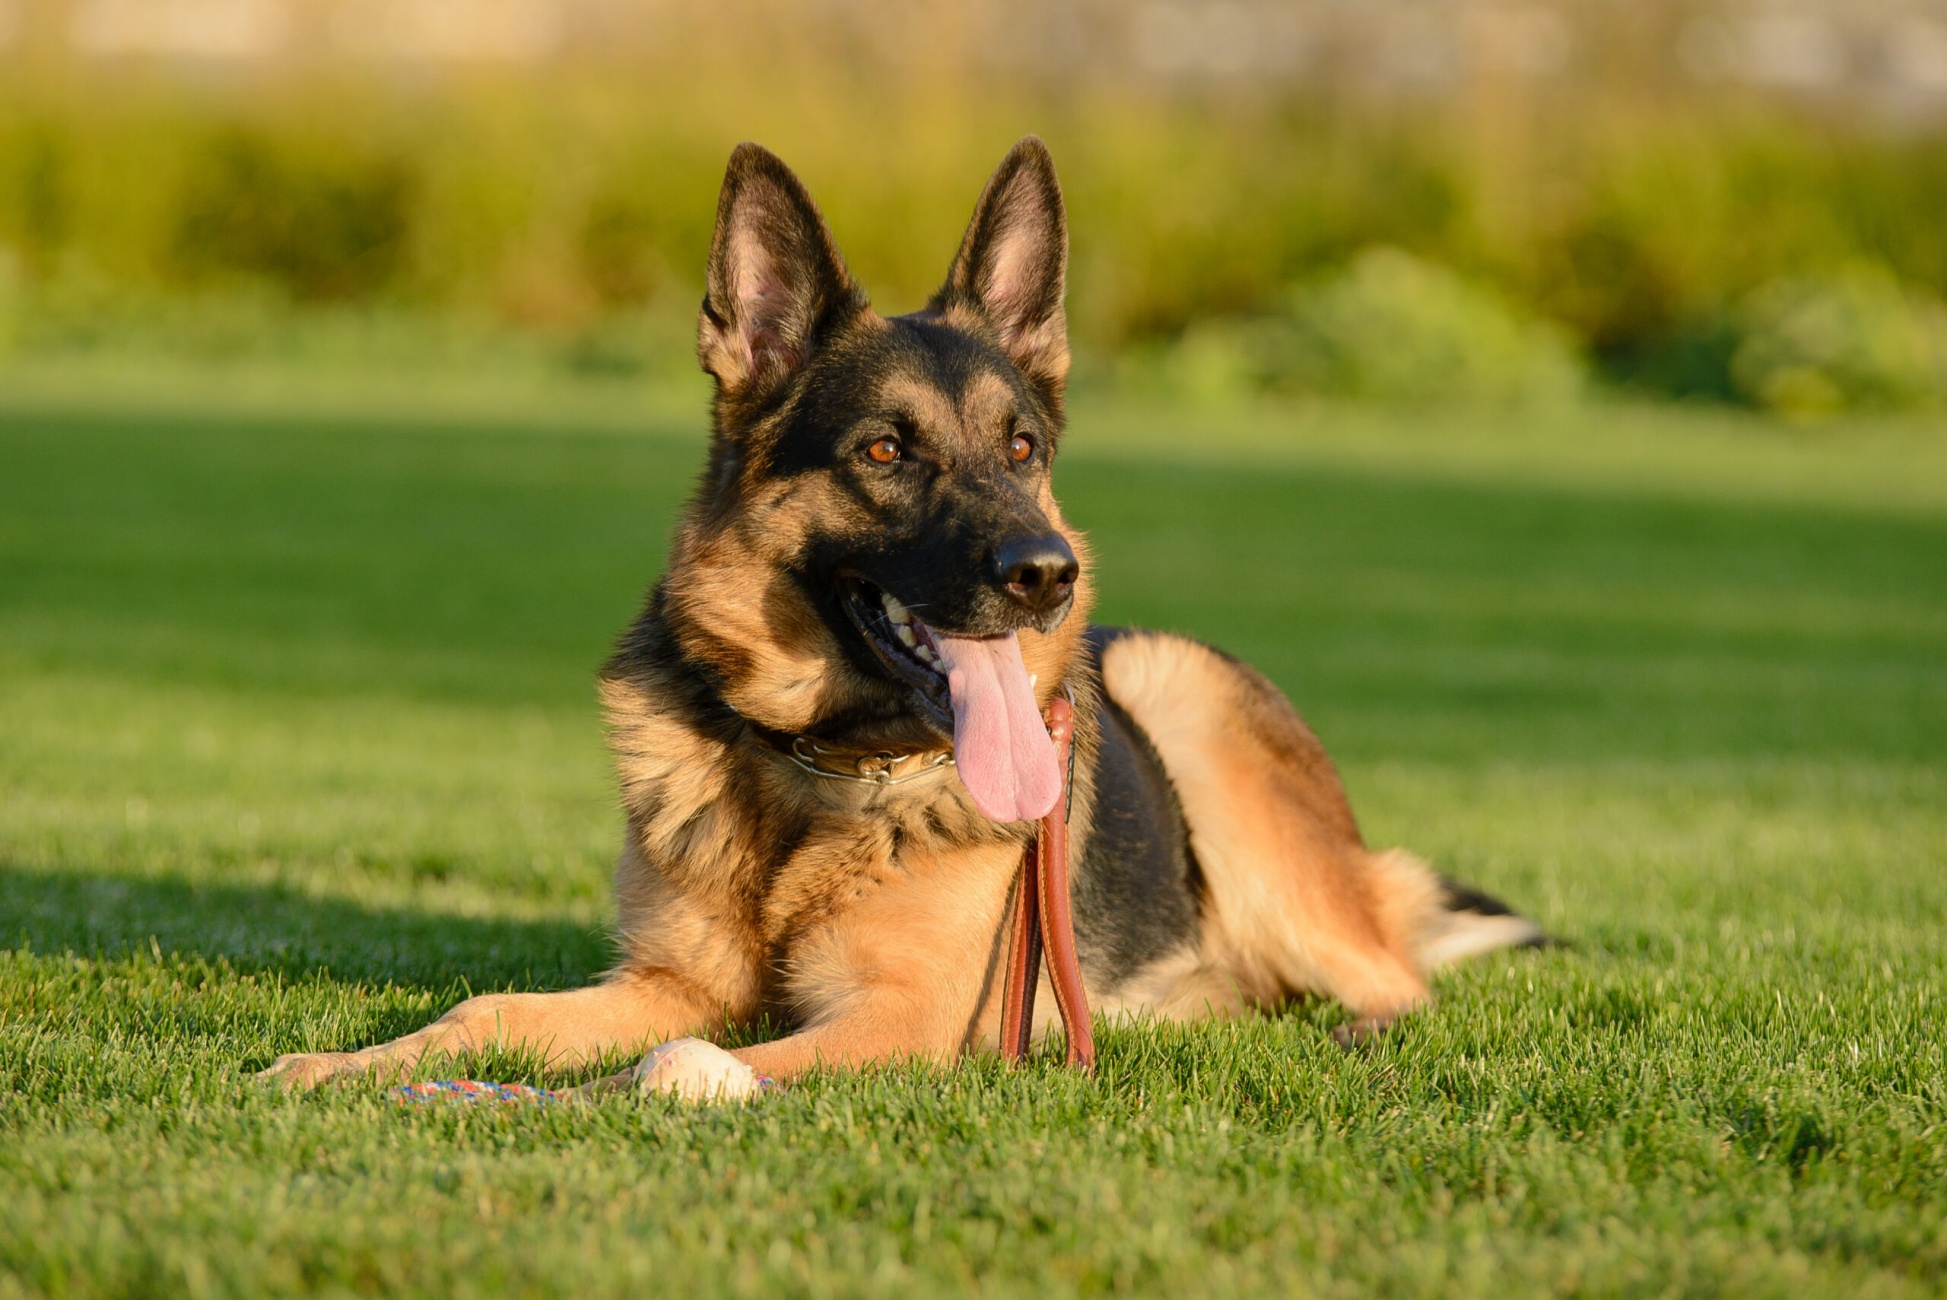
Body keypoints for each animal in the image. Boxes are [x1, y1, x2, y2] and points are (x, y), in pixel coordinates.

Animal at [266, 140, 1534, 1097]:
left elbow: (682, 1063)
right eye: (884, 451)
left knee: (1388, 981)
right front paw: (347, 1067)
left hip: (1191, 703)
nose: (1047, 574)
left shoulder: (901, 1017)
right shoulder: (665, 983)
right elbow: (482, 1014)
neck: (816, 772)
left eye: (1021, 450)